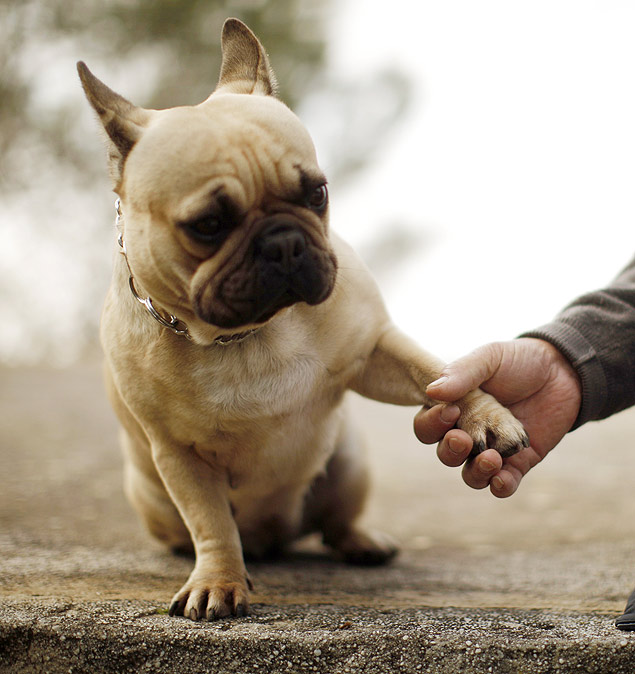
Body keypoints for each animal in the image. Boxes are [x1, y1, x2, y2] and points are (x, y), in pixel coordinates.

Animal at [77, 18, 528, 620]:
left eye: (317, 193)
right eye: (208, 224)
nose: (284, 242)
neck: (247, 333)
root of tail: (275, 536)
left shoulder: (375, 349)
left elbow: (436, 374)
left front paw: (486, 418)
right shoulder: (178, 455)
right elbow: (211, 522)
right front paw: (217, 581)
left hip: (350, 464)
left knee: (336, 523)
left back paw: (362, 542)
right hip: (152, 495)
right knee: (204, 530)